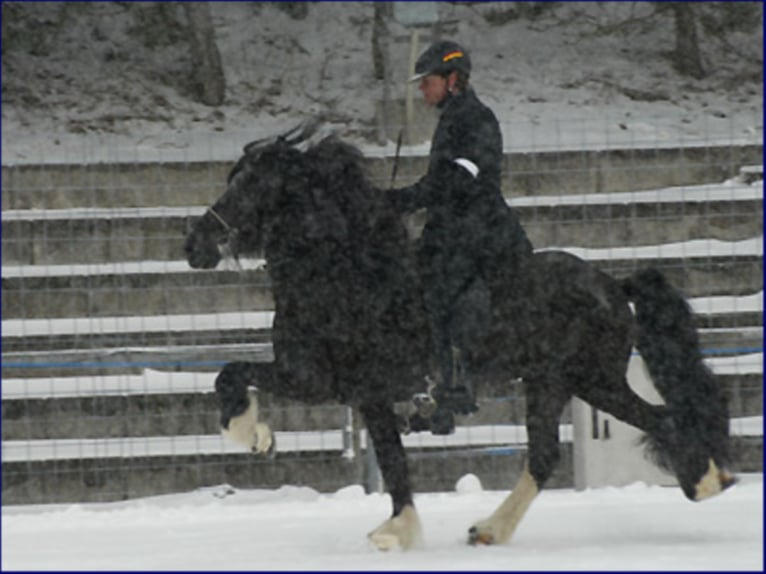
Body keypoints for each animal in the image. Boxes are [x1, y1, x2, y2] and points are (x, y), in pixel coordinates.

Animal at [184, 122, 736, 552]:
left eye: (251, 185)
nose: (194, 245)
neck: (345, 275)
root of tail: (611, 283)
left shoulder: (330, 383)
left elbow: (235, 377)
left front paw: (252, 434)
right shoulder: (346, 389)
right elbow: (386, 456)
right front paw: (259, 436)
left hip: (595, 382)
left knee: (662, 420)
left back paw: (707, 482)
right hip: (549, 384)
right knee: (544, 457)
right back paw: (490, 529)